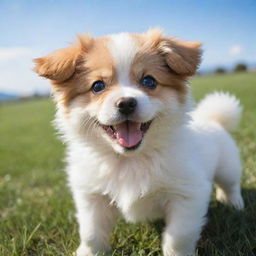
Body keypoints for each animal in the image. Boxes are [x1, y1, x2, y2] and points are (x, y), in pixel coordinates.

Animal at [34, 29, 244, 255]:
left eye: (149, 81)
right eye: (97, 86)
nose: (126, 103)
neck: (130, 160)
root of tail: (212, 119)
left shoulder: (187, 194)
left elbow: (179, 235)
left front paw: (175, 252)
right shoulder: (92, 196)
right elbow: (91, 233)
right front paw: (88, 252)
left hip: (227, 166)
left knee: (230, 185)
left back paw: (234, 204)